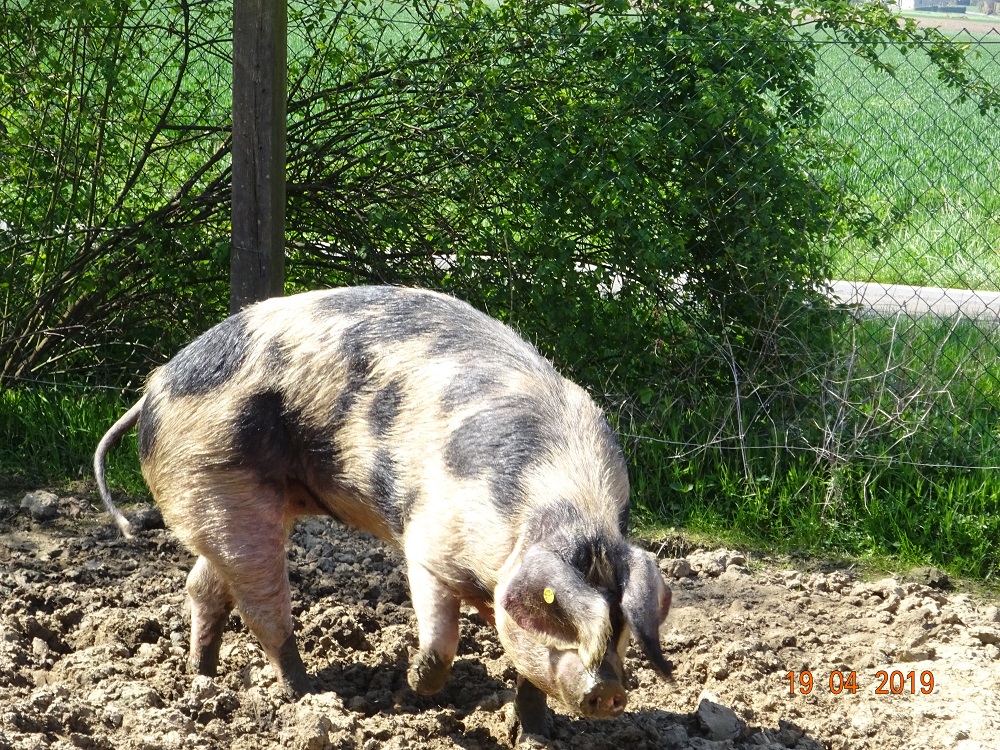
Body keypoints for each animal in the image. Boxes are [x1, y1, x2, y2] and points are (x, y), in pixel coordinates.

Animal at [93, 285, 673, 738]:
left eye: (620, 620)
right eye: (564, 613)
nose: (611, 690)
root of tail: (154, 388)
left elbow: (527, 669)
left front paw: (535, 734)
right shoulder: (428, 543)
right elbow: (440, 637)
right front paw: (415, 687)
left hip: (226, 501)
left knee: (207, 586)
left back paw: (203, 676)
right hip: (220, 480)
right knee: (261, 607)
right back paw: (310, 693)